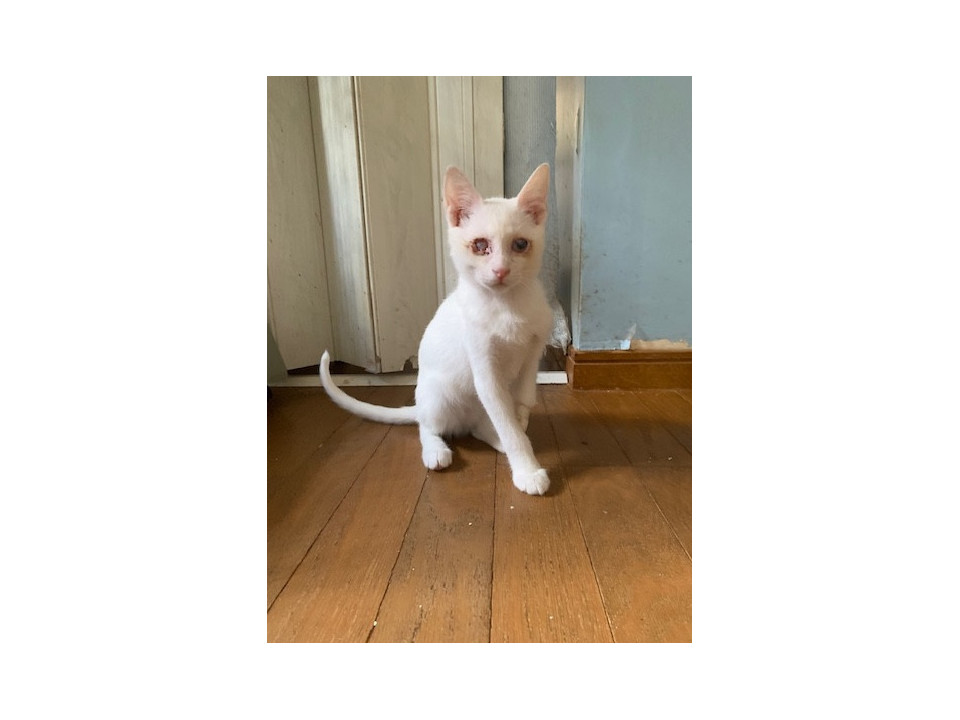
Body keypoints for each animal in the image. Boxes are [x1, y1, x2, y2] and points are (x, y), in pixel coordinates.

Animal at [319, 163, 553, 495]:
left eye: (520, 244)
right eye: (480, 245)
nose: (501, 270)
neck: (507, 305)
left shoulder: (534, 351)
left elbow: (522, 399)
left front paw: (521, 424)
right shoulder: (485, 372)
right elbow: (508, 424)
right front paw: (527, 468)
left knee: (480, 426)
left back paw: (495, 438)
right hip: (439, 396)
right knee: (428, 426)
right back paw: (436, 450)